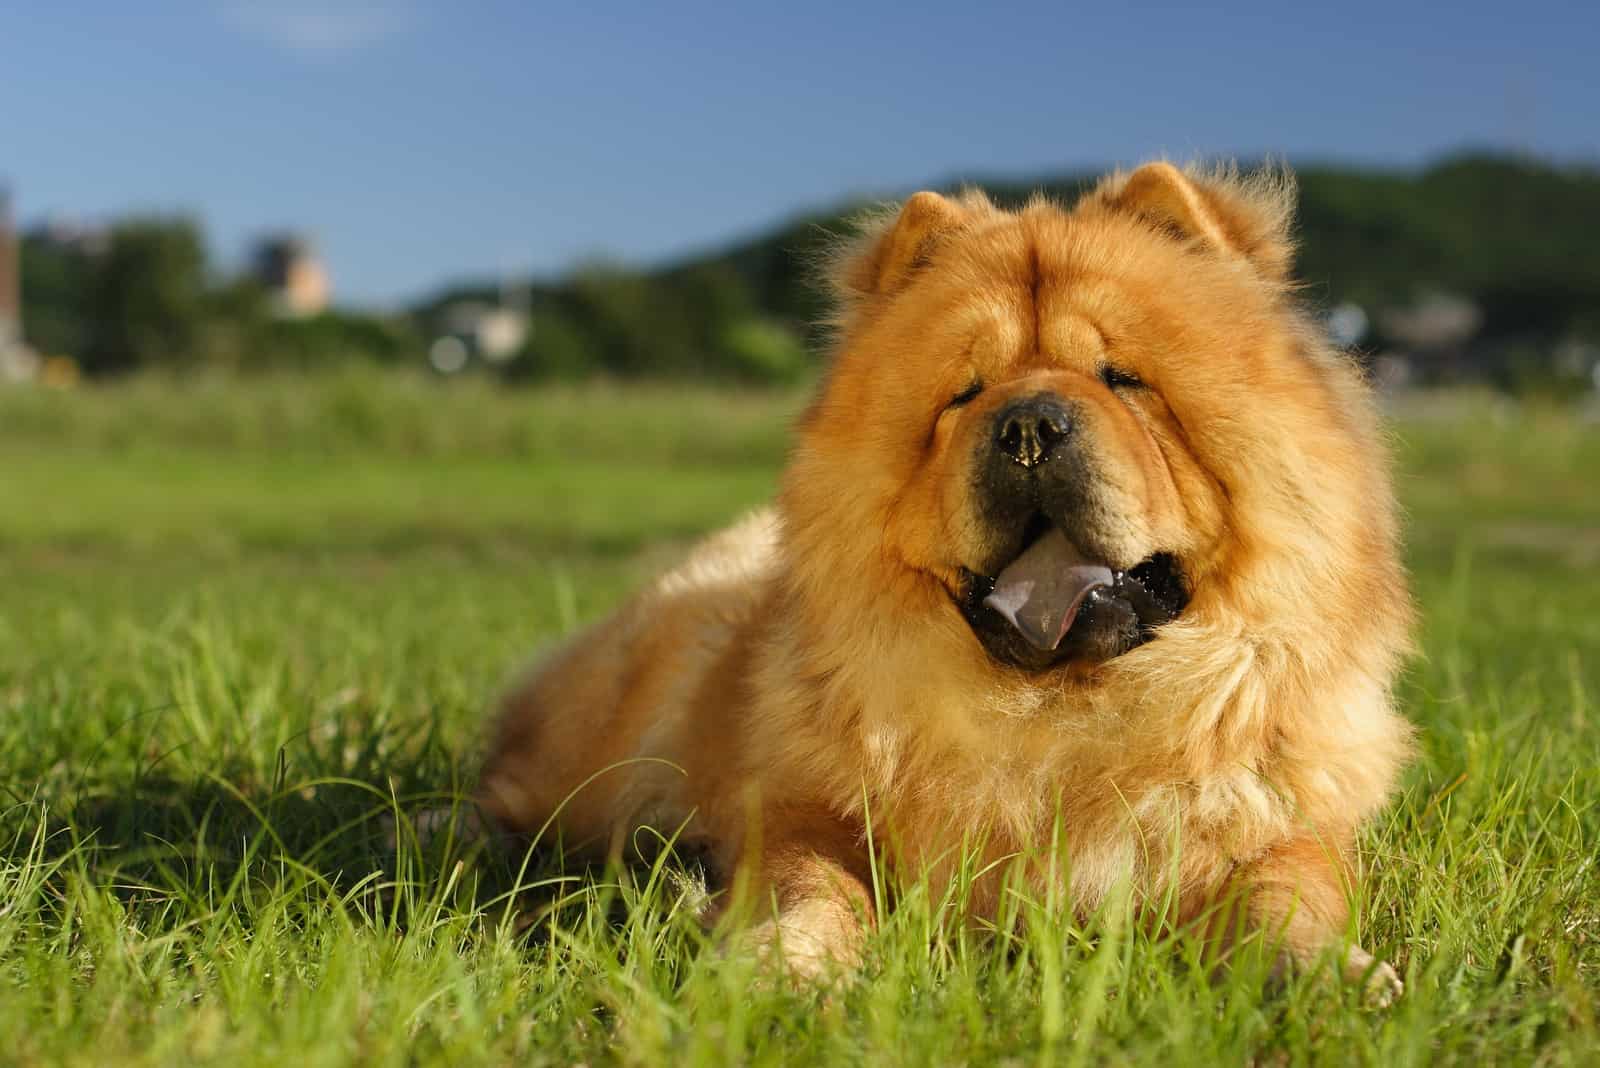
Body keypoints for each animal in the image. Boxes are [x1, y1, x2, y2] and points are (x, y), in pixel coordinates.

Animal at [476, 163, 1414, 997]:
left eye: (1123, 380)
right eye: (966, 394)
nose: (1029, 425)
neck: (1062, 717)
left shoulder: (1286, 824)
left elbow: (1283, 891)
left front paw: (1327, 980)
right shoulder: (802, 813)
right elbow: (815, 882)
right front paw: (785, 968)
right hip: (614, 741)